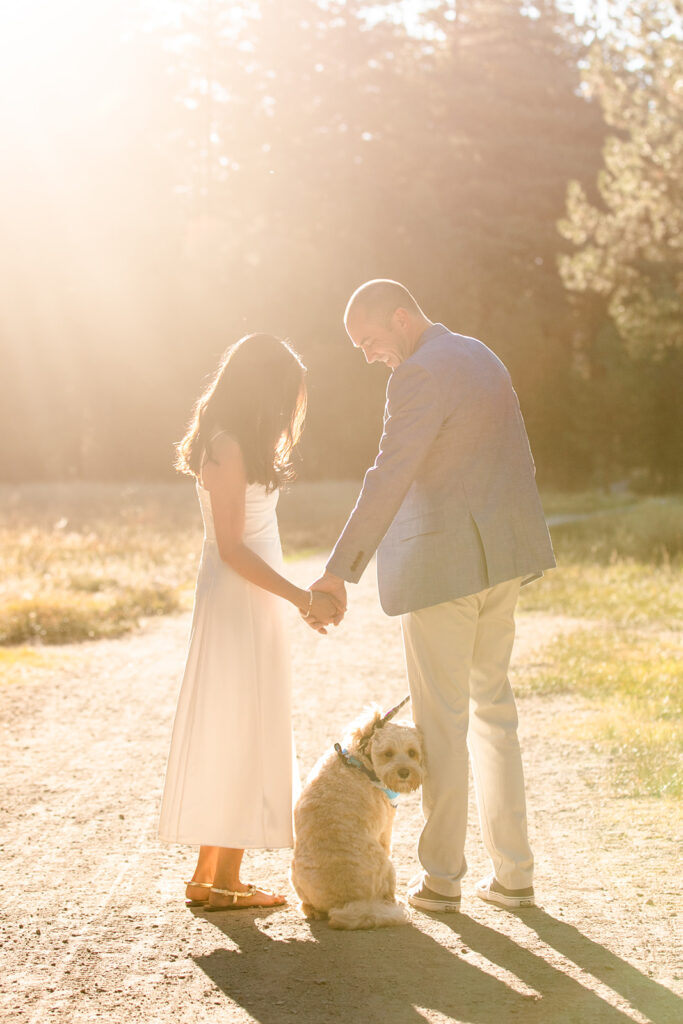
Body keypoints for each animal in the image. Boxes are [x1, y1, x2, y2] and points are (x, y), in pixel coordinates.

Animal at [290, 704, 423, 929]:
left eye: (412, 752)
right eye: (388, 753)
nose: (404, 772)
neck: (360, 762)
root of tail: (346, 903)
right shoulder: (386, 828)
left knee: (308, 905)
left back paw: (311, 910)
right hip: (388, 867)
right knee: (387, 895)